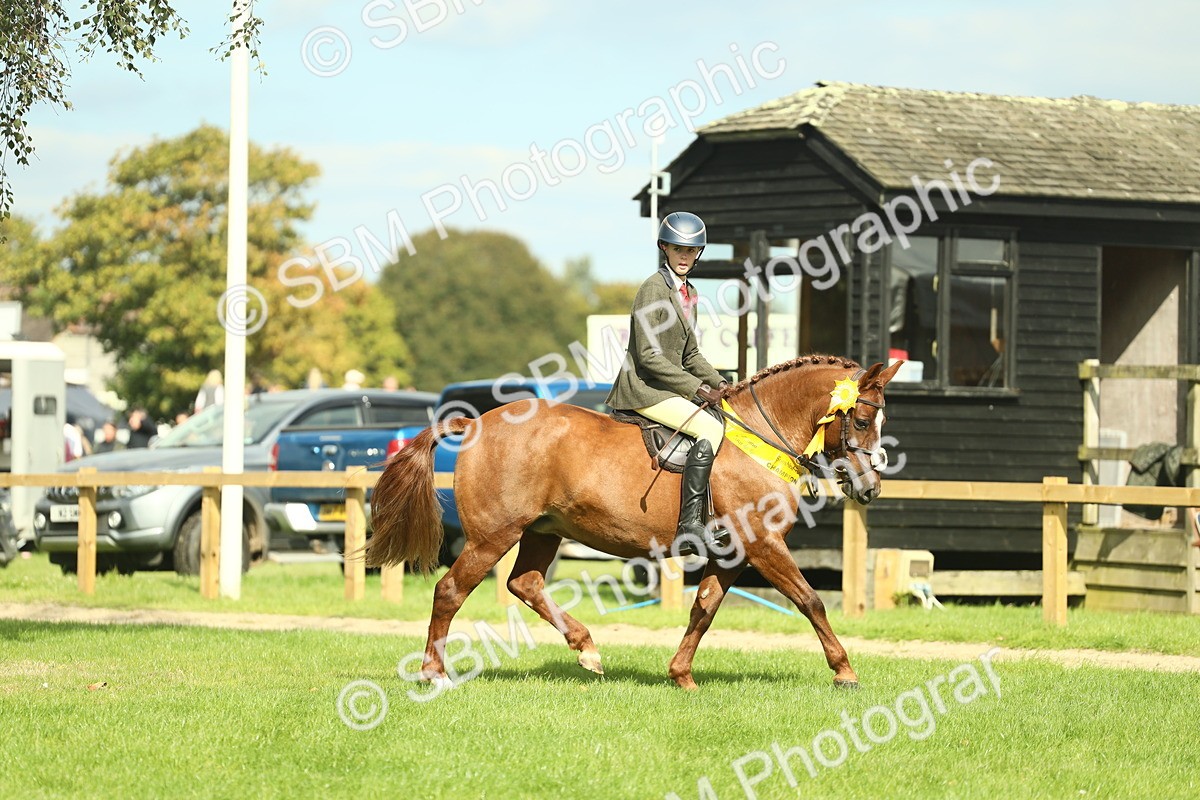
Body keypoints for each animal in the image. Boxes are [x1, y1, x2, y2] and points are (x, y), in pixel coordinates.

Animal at [364, 355, 902, 690]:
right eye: (859, 421)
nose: (870, 489)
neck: (759, 437)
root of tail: (477, 422)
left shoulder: (735, 551)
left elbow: (704, 608)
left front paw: (681, 675)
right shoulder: (763, 543)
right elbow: (811, 602)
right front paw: (845, 672)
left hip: (541, 531)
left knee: (526, 583)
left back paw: (586, 649)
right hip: (493, 536)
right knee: (450, 592)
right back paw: (434, 673)